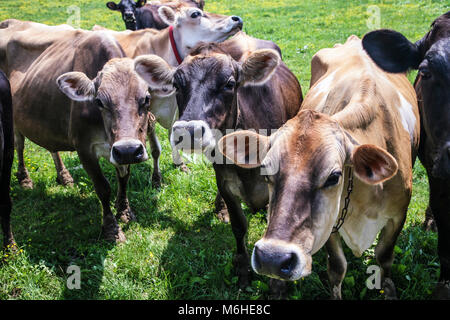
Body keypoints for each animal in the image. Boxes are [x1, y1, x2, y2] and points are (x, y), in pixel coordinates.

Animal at [134, 31, 302, 290]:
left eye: (229, 84)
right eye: (177, 84)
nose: (187, 131)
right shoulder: (225, 181)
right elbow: (238, 225)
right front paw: (242, 270)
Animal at [218, 36, 418, 298]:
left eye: (334, 177)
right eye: (267, 173)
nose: (272, 258)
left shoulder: (398, 215)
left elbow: (384, 259)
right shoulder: (329, 226)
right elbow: (337, 268)